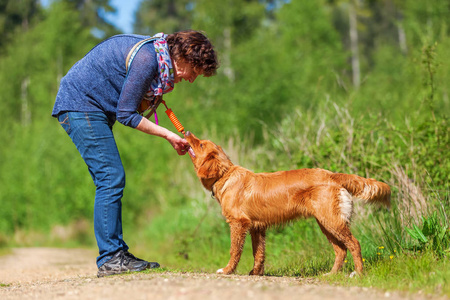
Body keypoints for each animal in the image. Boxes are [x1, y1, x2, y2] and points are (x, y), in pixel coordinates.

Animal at [184, 131, 390, 276]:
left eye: (200, 144)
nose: (186, 132)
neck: (225, 175)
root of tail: (332, 175)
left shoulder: (238, 223)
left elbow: (235, 251)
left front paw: (227, 270)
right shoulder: (257, 228)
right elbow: (259, 253)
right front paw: (256, 273)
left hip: (332, 221)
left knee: (354, 244)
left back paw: (359, 273)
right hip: (326, 223)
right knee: (340, 250)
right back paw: (331, 275)